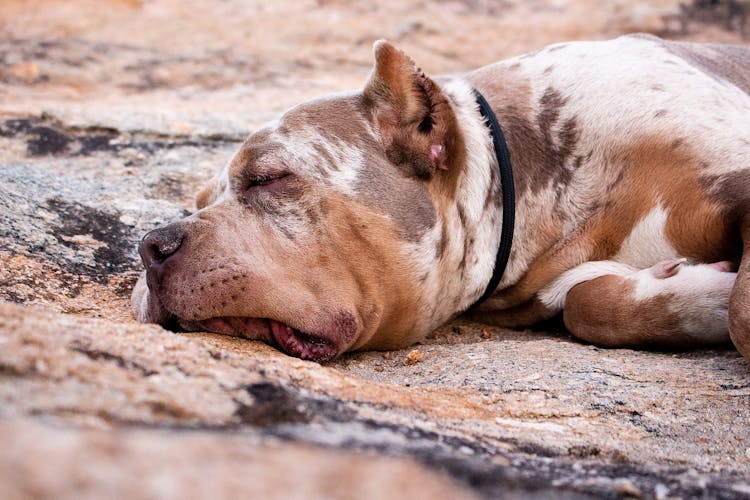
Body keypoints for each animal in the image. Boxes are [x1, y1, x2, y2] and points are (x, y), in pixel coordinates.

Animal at [132, 36, 750, 364]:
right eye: (198, 199)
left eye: (267, 178)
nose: (150, 246)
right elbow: (587, 302)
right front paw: (698, 289)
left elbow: (741, 313)